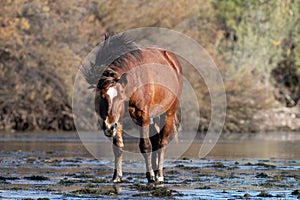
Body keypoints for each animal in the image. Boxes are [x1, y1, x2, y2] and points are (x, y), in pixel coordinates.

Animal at [81, 33, 182, 184]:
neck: (134, 83)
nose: (108, 127)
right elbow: (118, 147)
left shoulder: (143, 116)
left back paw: (159, 175)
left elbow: (145, 146)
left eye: (120, 97)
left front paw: (151, 176)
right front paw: (117, 177)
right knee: (156, 142)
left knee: (162, 143)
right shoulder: (119, 119)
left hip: (168, 113)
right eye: (102, 97)